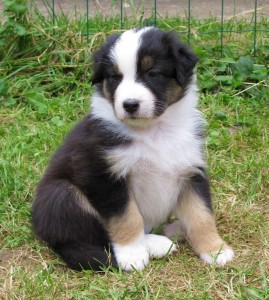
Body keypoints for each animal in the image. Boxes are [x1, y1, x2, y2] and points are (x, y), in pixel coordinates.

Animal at [30, 27, 232, 272]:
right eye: (115, 77)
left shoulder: (191, 169)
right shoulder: (104, 175)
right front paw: (132, 254)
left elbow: (201, 214)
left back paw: (174, 230)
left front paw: (215, 250)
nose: (129, 105)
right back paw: (157, 242)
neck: (153, 130)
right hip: (62, 194)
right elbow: (126, 217)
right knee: (96, 235)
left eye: (152, 73)